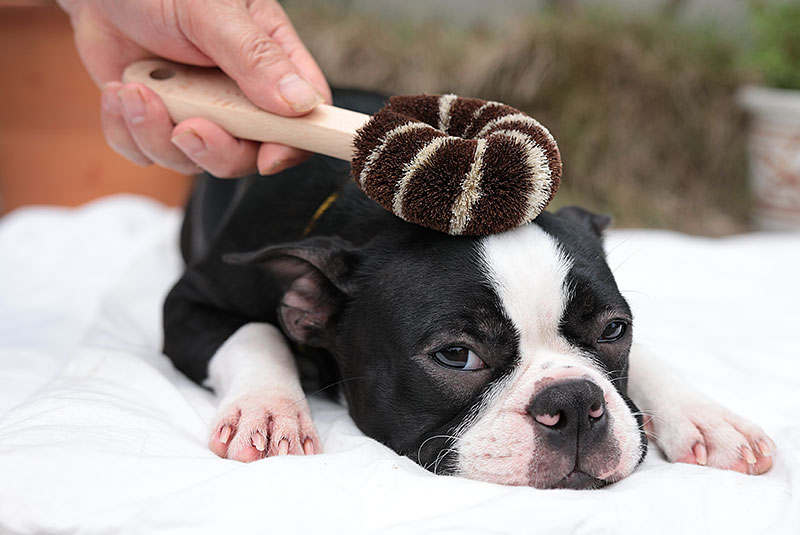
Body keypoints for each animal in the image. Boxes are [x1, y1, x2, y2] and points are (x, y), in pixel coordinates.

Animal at [164, 88, 776, 490]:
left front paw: (706, 417)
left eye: (614, 330)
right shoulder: (187, 303)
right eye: (456, 356)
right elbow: (254, 332)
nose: (575, 403)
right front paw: (269, 411)